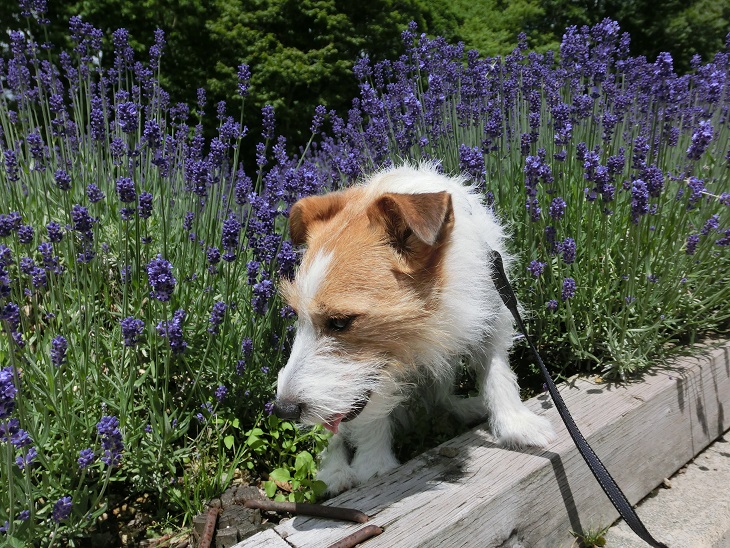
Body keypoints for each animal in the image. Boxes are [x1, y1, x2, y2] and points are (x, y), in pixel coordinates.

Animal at [272, 164, 552, 496]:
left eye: (340, 321)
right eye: (296, 315)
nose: (283, 410)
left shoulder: (492, 315)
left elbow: (498, 374)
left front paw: (516, 426)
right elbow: (370, 416)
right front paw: (373, 466)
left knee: (442, 399)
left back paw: (466, 408)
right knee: (333, 437)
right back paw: (334, 472)